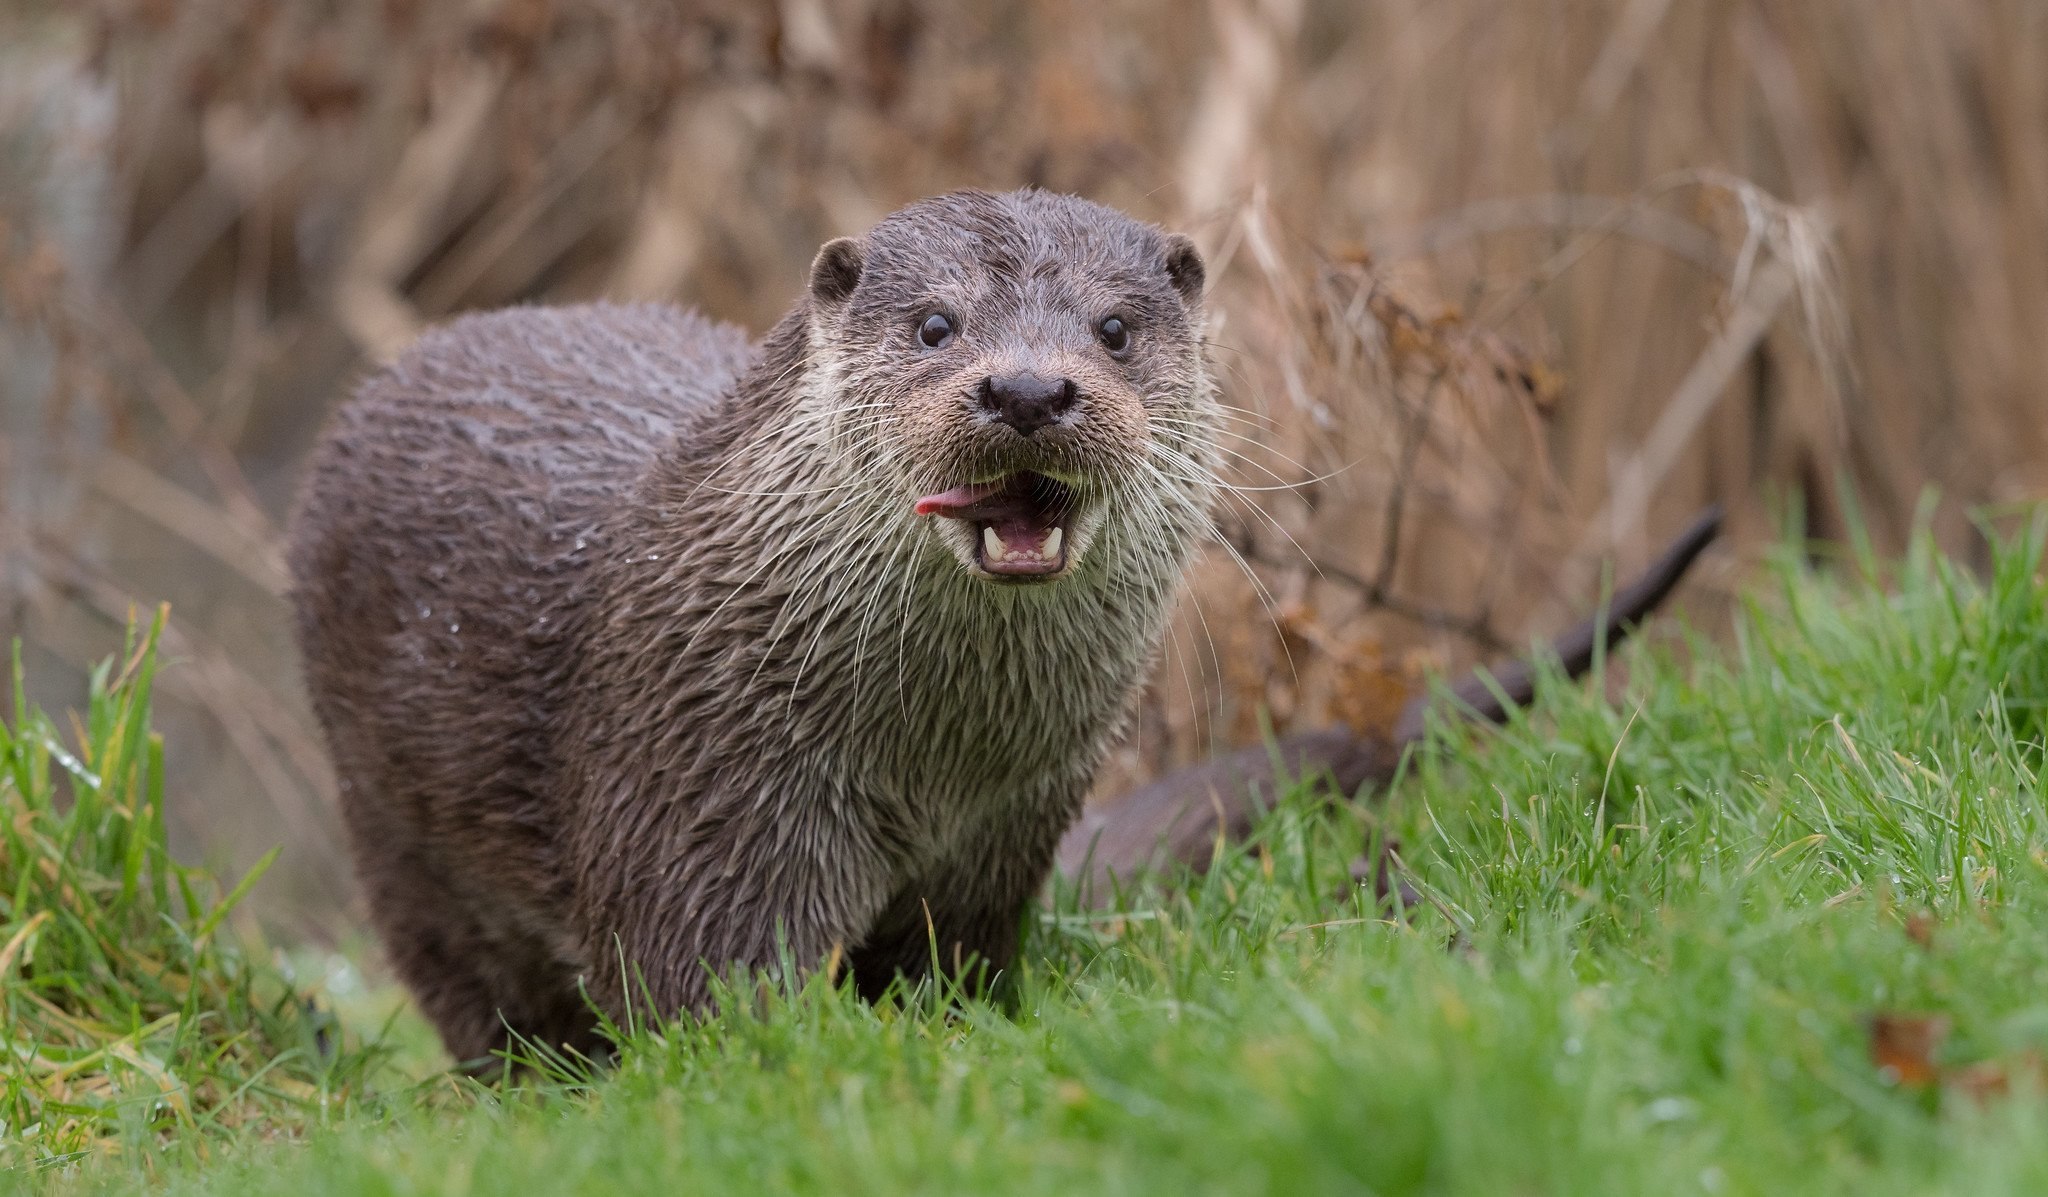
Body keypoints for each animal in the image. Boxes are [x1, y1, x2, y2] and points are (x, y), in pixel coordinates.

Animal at [288, 189, 1212, 1065]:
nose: (1027, 390)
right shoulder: (701, 799)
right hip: (391, 828)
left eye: (1115, 329)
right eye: (935, 325)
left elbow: (950, 961)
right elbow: (710, 985)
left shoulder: (1004, 834)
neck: (938, 762)